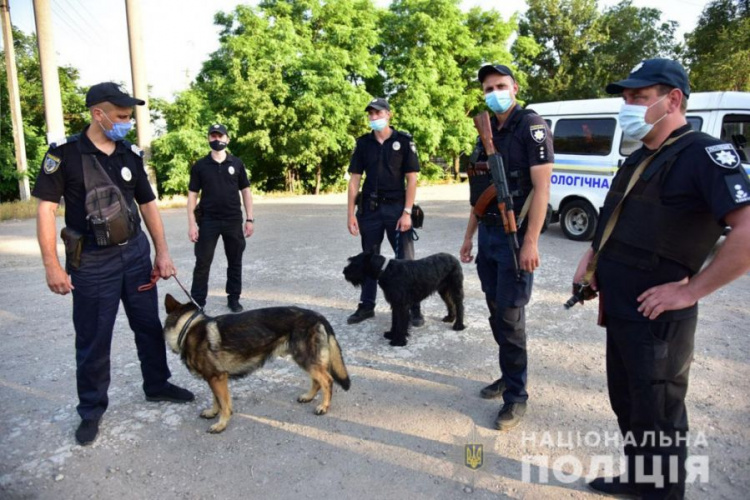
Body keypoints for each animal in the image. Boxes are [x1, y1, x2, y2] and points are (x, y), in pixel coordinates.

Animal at [163, 294, 352, 432]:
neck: (187, 328)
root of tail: (318, 316)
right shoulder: (213, 379)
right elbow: (216, 400)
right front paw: (212, 412)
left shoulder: (217, 378)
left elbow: (224, 404)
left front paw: (221, 424)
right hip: (305, 359)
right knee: (317, 380)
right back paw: (308, 397)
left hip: (306, 358)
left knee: (327, 380)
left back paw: (324, 406)